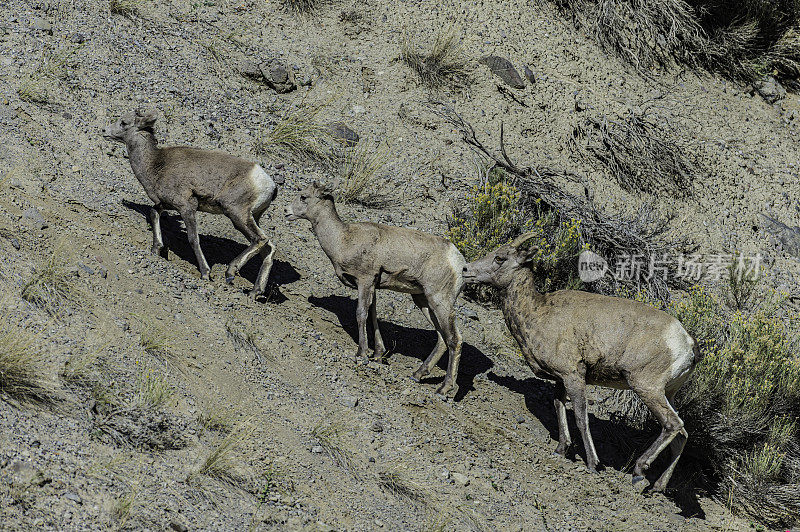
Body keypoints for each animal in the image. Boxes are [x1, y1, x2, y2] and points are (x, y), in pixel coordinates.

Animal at [101, 110, 282, 300]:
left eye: (123, 123)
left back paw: (230, 272)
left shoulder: (187, 207)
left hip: (236, 213)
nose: (104, 130)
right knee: (269, 249)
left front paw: (205, 273)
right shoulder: (165, 204)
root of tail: (269, 185)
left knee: (260, 240)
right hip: (251, 217)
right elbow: (153, 213)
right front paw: (156, 249)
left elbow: (193, 239)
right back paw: (255, 292)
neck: (156, 165)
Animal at [284, 183, 466, 394]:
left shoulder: (365, 281)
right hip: (423, 301)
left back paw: (444, 389)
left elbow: (361, 314)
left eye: (303, 197)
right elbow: (373, 317)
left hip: (439, 300)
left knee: (454, 339)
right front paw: (378, 354)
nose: (286, 211)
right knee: (441, 338)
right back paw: (417, 374)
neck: (343, 239)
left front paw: (362, 353)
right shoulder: (372, 287)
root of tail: (458, 261)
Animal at [462, 235, 700, 492]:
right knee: (682, 435)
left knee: (673, 425)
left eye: (500, 258)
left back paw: (638, 472)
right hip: (668, 393)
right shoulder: (560, 379)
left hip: (647, 388)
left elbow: (580, 417)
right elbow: (558, 407)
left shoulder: (574, 376)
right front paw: (560, 450)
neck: (538, 313)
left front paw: (593, 463)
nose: (465, 270)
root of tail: (687, 343)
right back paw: (657, 487)